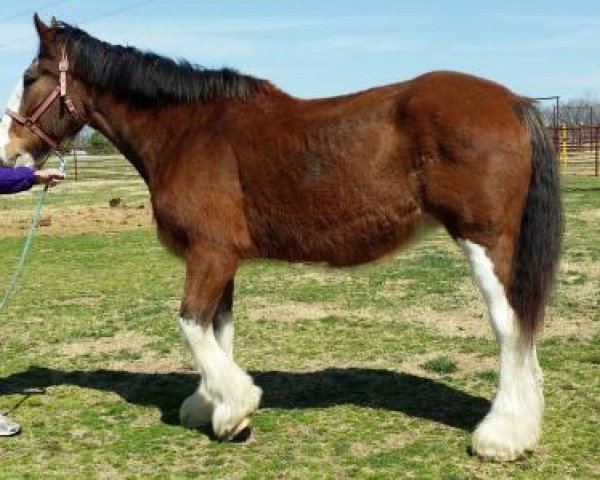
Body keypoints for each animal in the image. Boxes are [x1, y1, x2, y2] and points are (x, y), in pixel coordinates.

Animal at [1, 16, 564, 464]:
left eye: (29, 77)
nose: (10, 155)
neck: (188, 133)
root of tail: (511, 102)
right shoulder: (222, 259)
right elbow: (217, 330)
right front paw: (213, 406)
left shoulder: (208, 254)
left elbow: (191, 325)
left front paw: (234, 410)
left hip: (485, 242)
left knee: (510, 326)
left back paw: (501, 436)